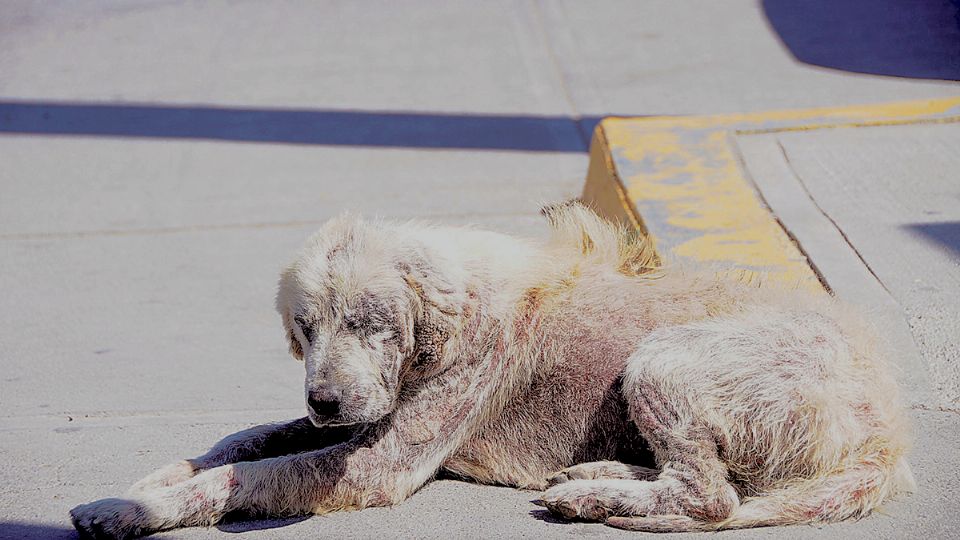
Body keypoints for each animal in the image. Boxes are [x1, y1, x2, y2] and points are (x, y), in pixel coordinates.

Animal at [71, 200, 912, 536]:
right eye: (304, 329)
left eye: (368, 323)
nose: (327, 401)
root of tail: (887, 428)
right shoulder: (350, 423)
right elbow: (243, 440)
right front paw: (154, 480)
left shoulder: (375, 463)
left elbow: (249, 474)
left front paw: (133, 510)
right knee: (710, 481)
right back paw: (598, 477)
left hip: (662, 357)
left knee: (711, 498)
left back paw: (591, 497)